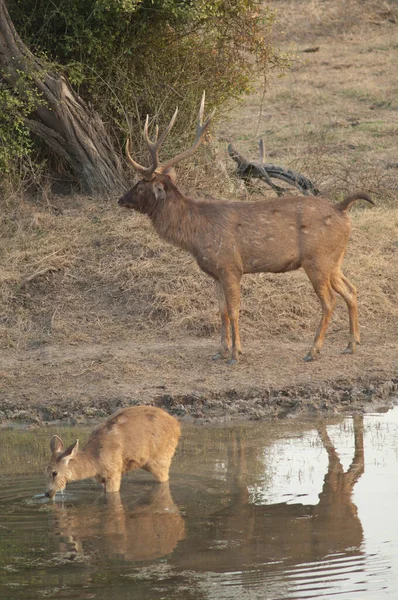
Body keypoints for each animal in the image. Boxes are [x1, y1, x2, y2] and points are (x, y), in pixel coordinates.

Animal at [44, 408, 180, 496]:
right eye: (46, 470)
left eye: (54, 473)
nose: (47, 493)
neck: (95, 461)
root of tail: (177, 425)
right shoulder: (102, 479)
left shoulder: (113, 472)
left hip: (161, 458)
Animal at [118, 91, 374, 364]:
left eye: (140, 184)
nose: (121, 199)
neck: (195, 235)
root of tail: (342, 208)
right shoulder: (216, 272)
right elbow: (221, 310)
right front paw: (220, 351)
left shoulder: (230, 266)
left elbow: (234, 310)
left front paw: (235, 354)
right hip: (334, 260)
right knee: (351, 290)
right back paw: (351, 344)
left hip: (317, 258)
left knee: (329, 301)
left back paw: (313, 350)